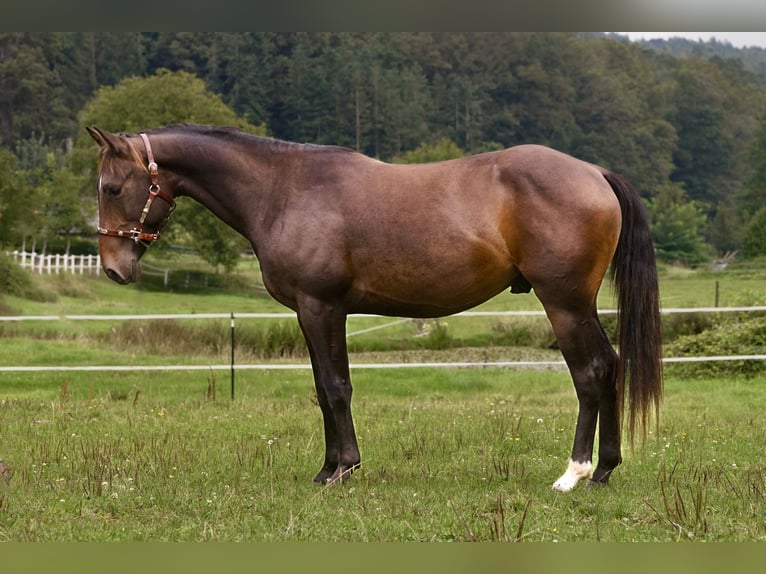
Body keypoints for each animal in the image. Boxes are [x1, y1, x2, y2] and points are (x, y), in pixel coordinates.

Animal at [87, 124, 664, 492]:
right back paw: (605, 470)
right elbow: (323, 390)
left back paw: (574, 474)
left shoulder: (320, 308)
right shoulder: (311, 313)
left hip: (564, 303)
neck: (282, 189)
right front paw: (327, 468)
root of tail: (594, 173)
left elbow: (336, 387)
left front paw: (343, 470)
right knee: (610, 367)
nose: (114, 267)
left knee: (590, 372)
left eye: (112, 187)